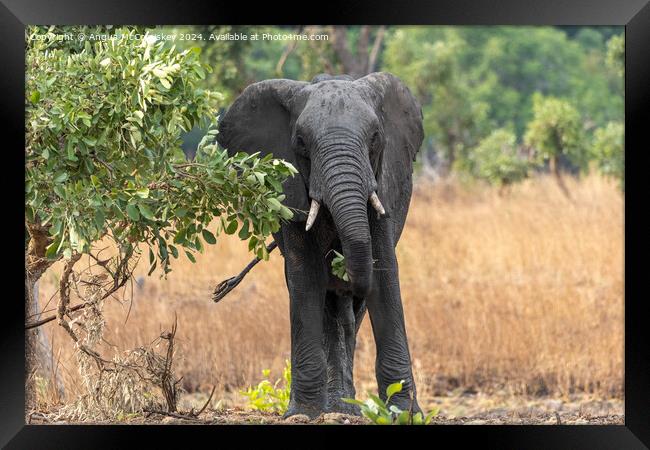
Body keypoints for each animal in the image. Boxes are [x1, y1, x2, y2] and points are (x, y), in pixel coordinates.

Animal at [215, 71, 422, 418]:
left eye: (375, 138)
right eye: (300, 142)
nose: (344, 270)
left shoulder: (384, 184)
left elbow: (384, 274)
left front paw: (404, 414)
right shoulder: (290, 190)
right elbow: (306, 279)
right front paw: (302, 413)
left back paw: (345, 408)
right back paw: (335, 407)